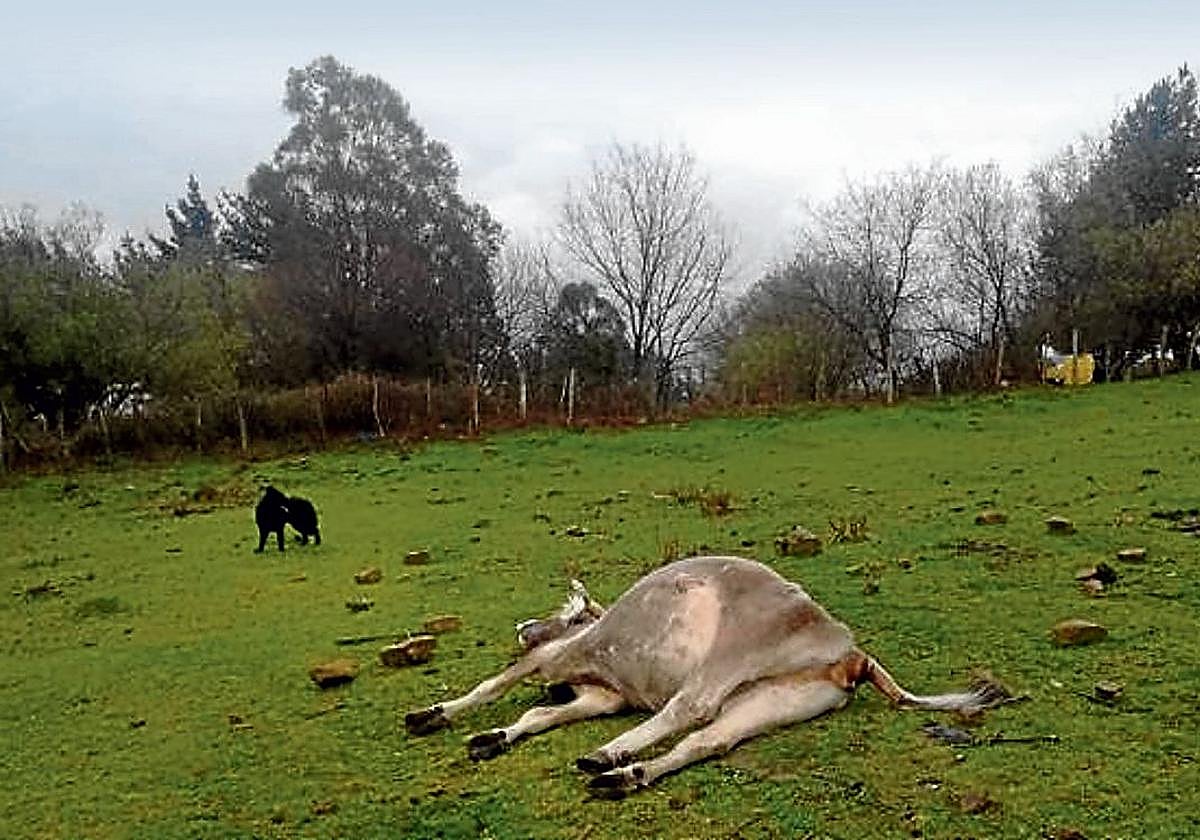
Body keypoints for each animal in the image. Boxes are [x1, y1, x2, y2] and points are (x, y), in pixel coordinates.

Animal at [404, 556, 1011, 799]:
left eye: (563, 613)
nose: (524, 626)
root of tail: (851, 651)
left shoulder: (560, 660)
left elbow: (500, 685)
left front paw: (432, 715)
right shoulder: (603, 697)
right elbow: (539, 713)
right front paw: (492, 738)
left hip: (726, 657)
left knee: (688, 710)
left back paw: (607, 756)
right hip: (772, 701)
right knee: (707, 740)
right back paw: (625, 776)